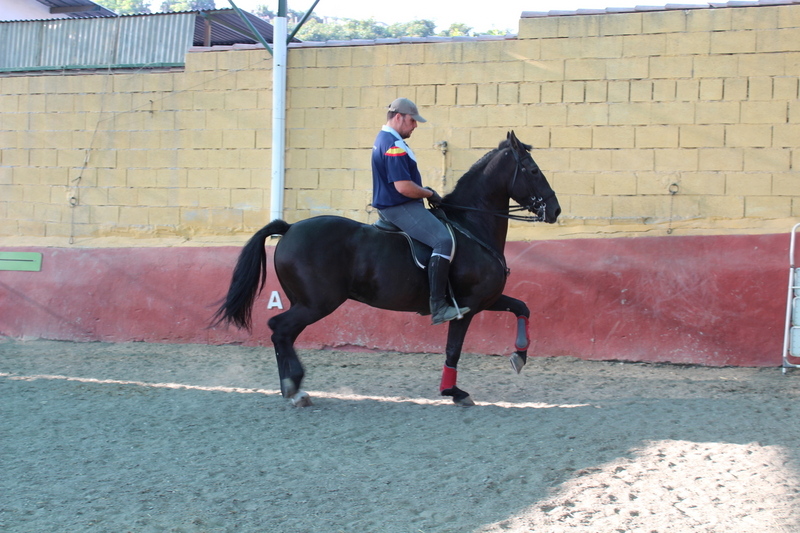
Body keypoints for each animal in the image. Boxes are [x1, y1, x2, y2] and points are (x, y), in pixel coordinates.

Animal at [212, 131, 561, 406]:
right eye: (532, 170)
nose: (555, 210)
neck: (472, 226)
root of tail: (289, 227)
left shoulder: (487, 299)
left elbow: (523, 308)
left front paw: (520, 355)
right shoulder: (468, 306)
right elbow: (453, 349)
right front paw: (454, 392)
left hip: (306, 302)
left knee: (282, 333)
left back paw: (292, 387)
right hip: (317, 303)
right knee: (280, 329)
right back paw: (294, 387)